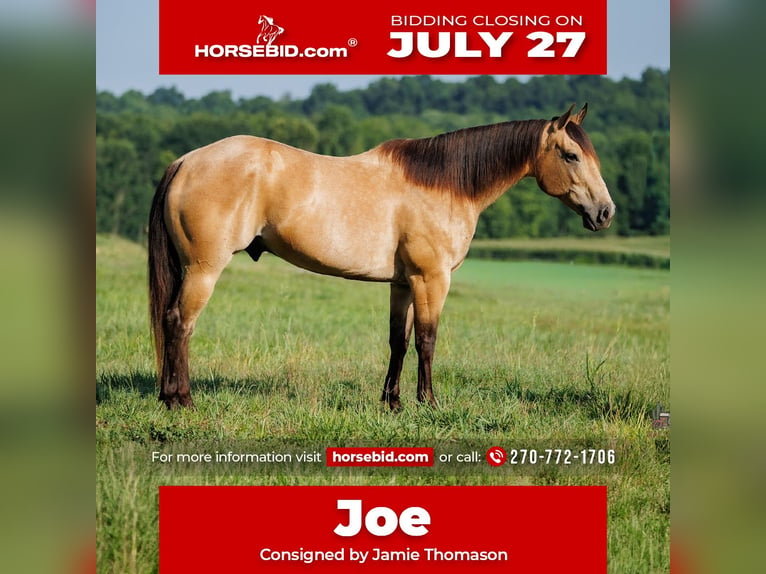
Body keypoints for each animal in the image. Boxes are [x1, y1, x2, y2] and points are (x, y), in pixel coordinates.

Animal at [148, 104, 615, 410]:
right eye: (571, 155)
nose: (605, 213)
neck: (443, 185)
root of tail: (185, 161)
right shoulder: (431, 278)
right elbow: (427, 339)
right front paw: (429, 402)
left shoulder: (403, 283)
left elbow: (399, 341)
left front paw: (392, 402)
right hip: (204, 270)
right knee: (180, 324)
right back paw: (181, 400)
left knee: (172, 323)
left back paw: (167, 397)